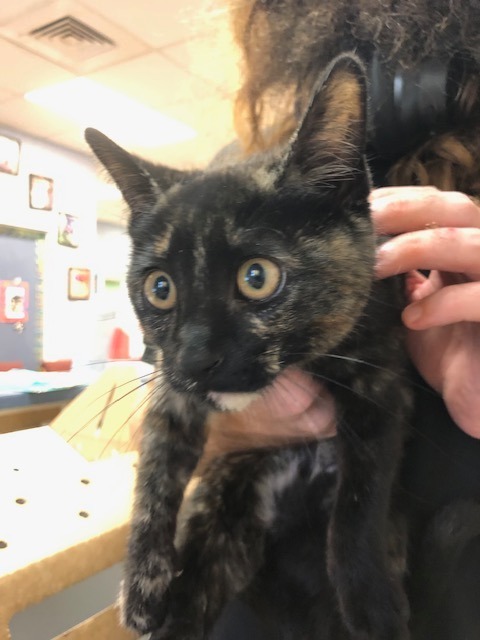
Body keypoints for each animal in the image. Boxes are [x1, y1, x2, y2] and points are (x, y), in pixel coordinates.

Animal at [85, 55, 412, 640]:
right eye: (159, 288)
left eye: (257, 277)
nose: (195, 358)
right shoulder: (172, 392)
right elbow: (155, 474)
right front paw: (141, 582)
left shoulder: (381, 385)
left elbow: (359, 504)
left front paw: (370, 602)